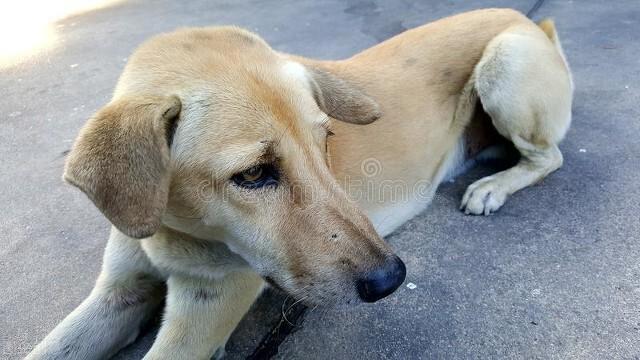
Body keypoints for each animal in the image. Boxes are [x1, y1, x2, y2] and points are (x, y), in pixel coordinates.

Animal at [27, 8, 572, 360]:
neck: (173, 231)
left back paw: (492, 186)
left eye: (325, 139)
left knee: (550, 156)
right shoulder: (116, 293)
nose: (390, 279)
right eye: (252, 174)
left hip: (506, 65)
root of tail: (529, 21)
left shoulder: (206, 307)